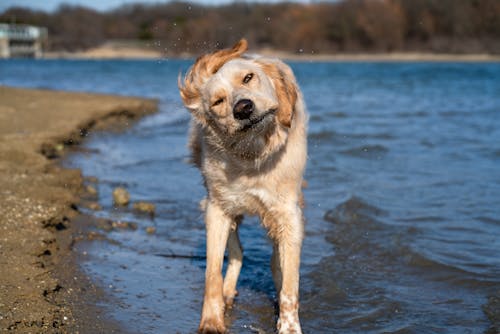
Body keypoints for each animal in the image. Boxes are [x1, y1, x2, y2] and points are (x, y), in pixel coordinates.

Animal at [178, 39, 306, 334]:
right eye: (218, 101)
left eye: (248, 78)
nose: (243, 108)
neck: (252, 156)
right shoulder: (217, 209)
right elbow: (212, 272)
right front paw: (211, 321)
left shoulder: (288, 216)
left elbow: (289, 284)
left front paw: (289, 326)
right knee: (237, 252)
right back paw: (228, 293)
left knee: (275, 262)